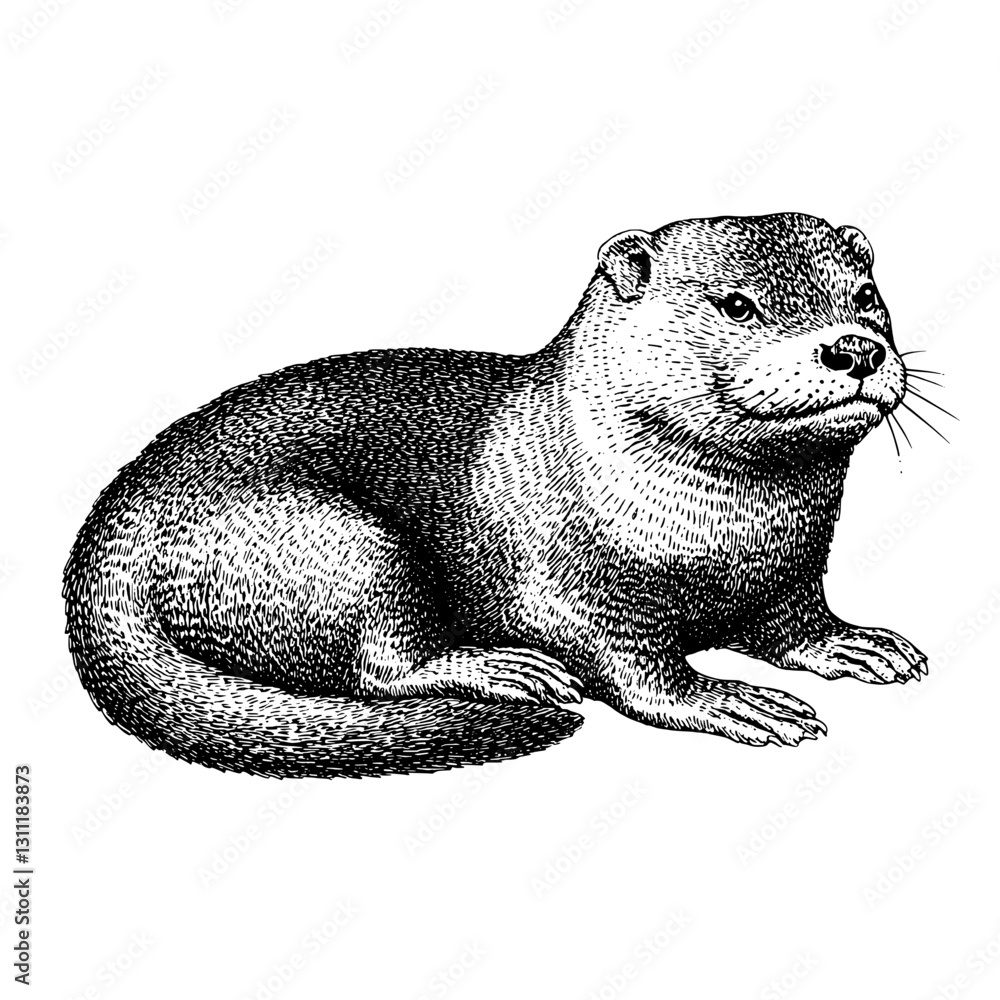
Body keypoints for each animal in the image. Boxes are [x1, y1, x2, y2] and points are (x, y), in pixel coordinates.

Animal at [64, 212, 928, 778]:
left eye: (865, 297)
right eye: (737, 305)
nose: (854, 348)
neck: (719, 539)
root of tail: (108, 545)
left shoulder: (792, 572)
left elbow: (796, 624)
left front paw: (856, 644)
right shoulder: (574, 594)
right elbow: (635, 671)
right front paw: (728, 699)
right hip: (341, 545)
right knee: (380, 665)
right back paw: (503, 670)